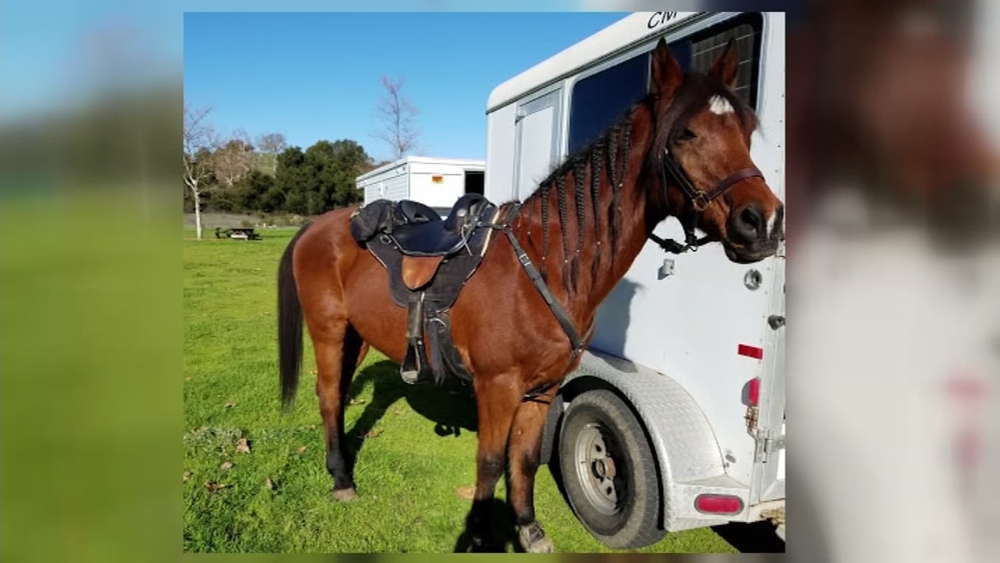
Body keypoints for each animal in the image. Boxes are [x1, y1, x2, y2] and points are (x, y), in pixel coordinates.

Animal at [276, 37, 785, 553]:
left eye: (746, 131)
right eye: (686, 133)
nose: (762, 223)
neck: (543, 266)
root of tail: (320, 225)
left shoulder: (543, 391)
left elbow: (522, 459)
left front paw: (527, 529)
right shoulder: (497, 387)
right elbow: (489, 463)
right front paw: (478, 536)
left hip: (356, 337)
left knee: (340, 394)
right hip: (329, 330)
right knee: (328, 397)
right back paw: (342, 480)